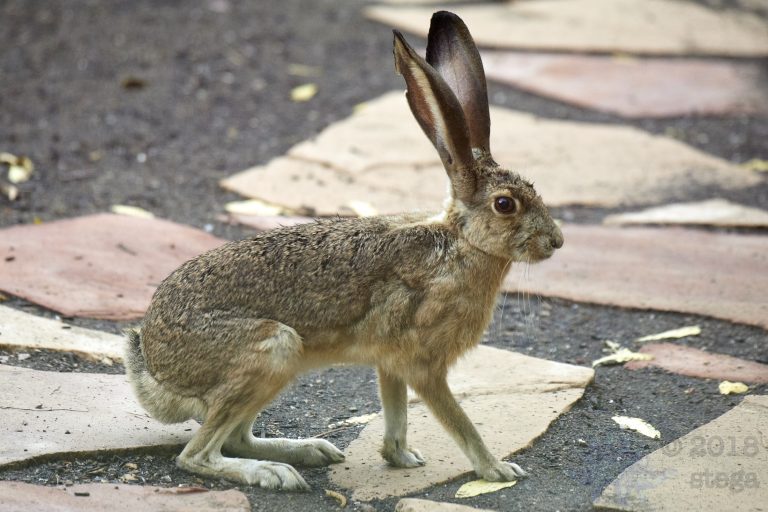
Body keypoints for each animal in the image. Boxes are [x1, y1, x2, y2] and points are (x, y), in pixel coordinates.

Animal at [125, 10, 563, 491]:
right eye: (505, 204)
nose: (556, 242)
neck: (461, 243)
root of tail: (155, 370)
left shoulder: (391, 361)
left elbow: (395, 412)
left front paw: (401, 457)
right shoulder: (423, 363)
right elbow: (458, 420)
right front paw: (497, 469)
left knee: (235, 438)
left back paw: (309, 452)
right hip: (272, 349)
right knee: (197, 454)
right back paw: (275, 473)